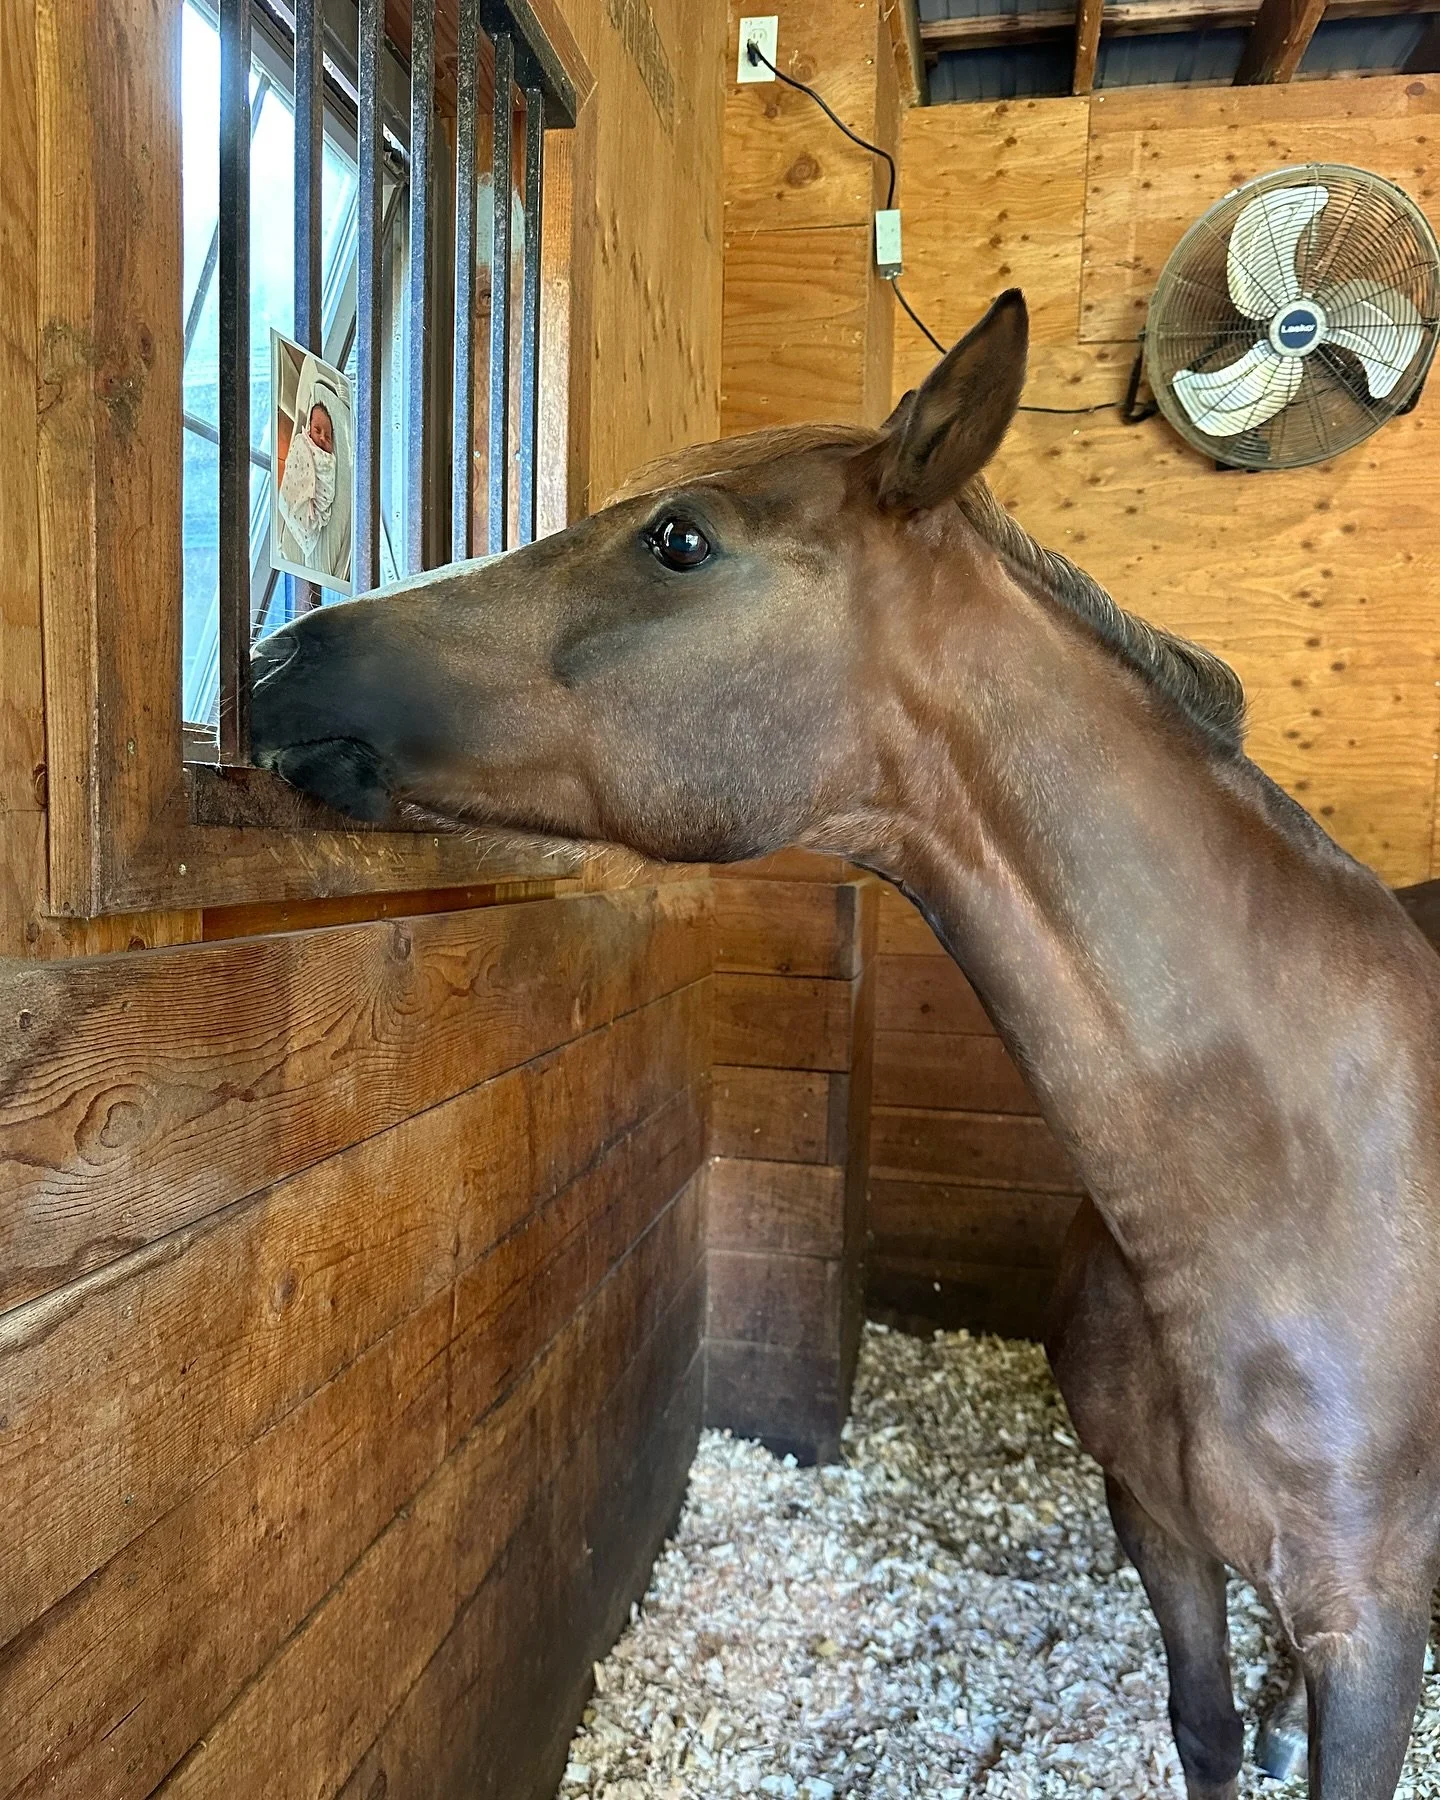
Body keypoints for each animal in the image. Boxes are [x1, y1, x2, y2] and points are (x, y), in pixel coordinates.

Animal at [249, 290, 1440, 1800]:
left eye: (680, 538)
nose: (277, 660)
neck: (1284, 1184)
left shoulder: (1375, 1621)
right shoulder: (1158, 1528)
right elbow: (1208, 1733)